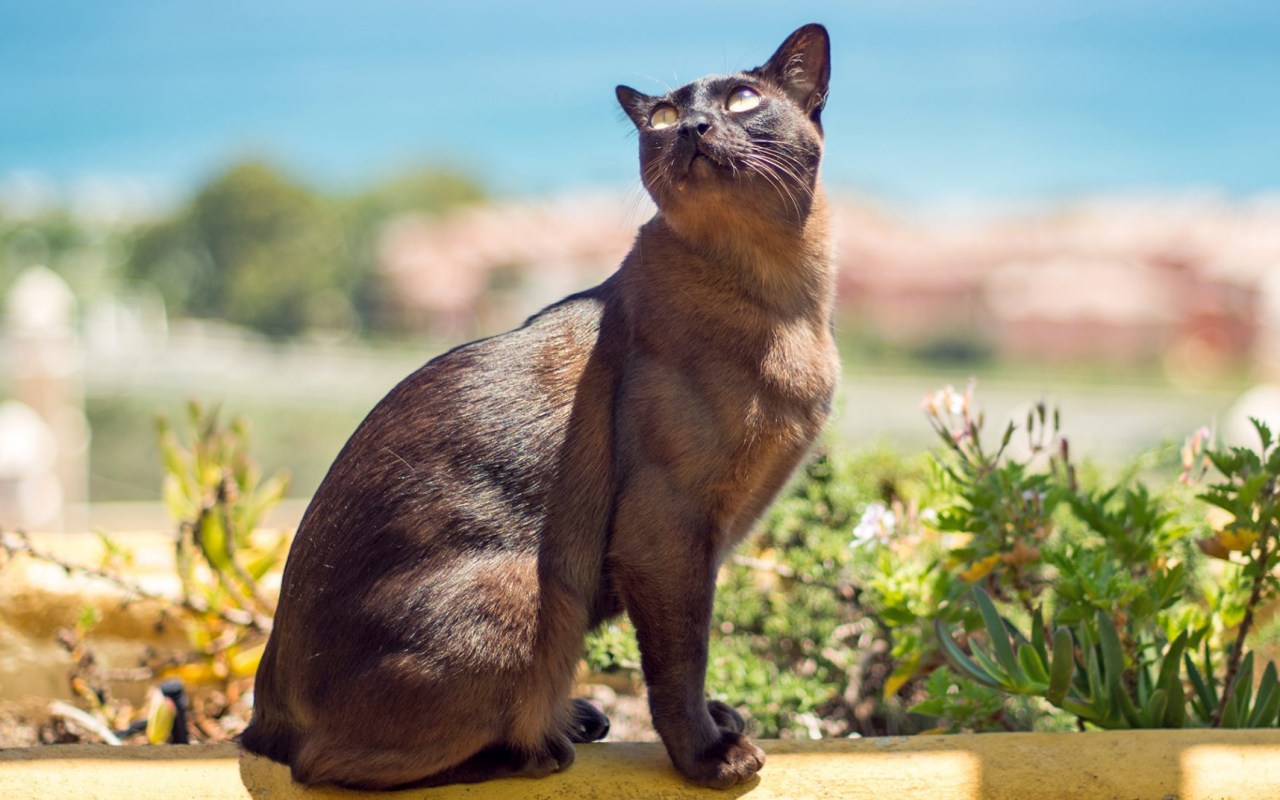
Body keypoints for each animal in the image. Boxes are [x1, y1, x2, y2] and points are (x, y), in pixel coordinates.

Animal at [241, 21, 839, 788]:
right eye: (664, 118)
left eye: (740, 100)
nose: (694, 128)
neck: (785, 297)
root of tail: (261, 718)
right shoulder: (666, 532)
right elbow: (680, 663)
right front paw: (711, 756)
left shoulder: (708, 540)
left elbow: (693, 661)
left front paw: (721, 721)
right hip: (535, 589)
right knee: (326, 766)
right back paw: (545, 743)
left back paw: (573, 721)